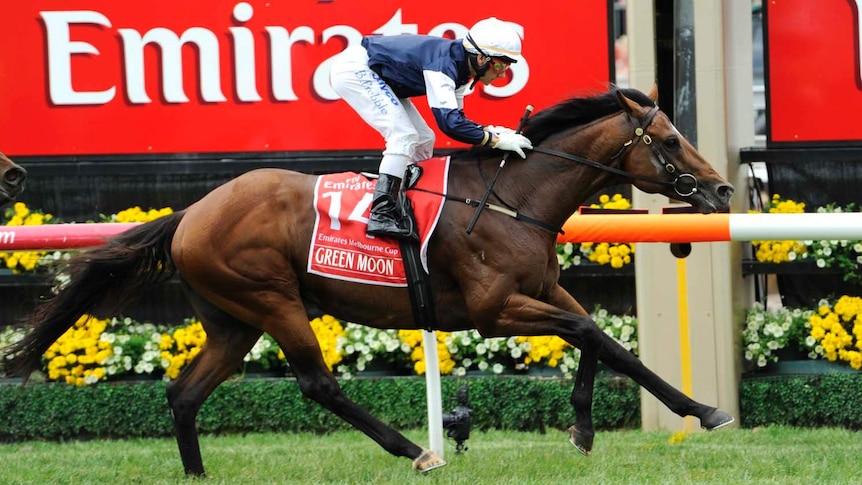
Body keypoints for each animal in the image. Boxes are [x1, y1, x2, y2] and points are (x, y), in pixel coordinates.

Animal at [5, 86, 736, 472]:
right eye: (670, 140)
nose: (723, 188)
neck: (513, 196)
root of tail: (191, 212)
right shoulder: (495, 309)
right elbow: (593, 332)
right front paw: (692, 412)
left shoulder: (543, 291)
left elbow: (600, 339)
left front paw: (605, 424)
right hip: (271, 299)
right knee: (318, 384)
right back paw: (416, 448)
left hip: (233, 321)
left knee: (184, 395)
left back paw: (197, 474)